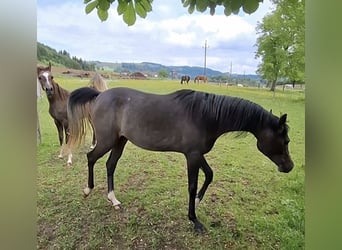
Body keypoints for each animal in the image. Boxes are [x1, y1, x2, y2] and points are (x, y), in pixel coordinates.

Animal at [67, 87, 294, 233]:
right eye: (285, 140)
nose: (289, 167)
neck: (206, 115)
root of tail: (99, 96)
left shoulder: (197, 154)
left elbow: (210, 174)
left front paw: (198, 201)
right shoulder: (192, 155)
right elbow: (192, 186)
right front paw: (194, 220)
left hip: (120, 141)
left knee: (110, 165)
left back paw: (113, 199)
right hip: (106, 141)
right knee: (91, 157)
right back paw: (87, 189)